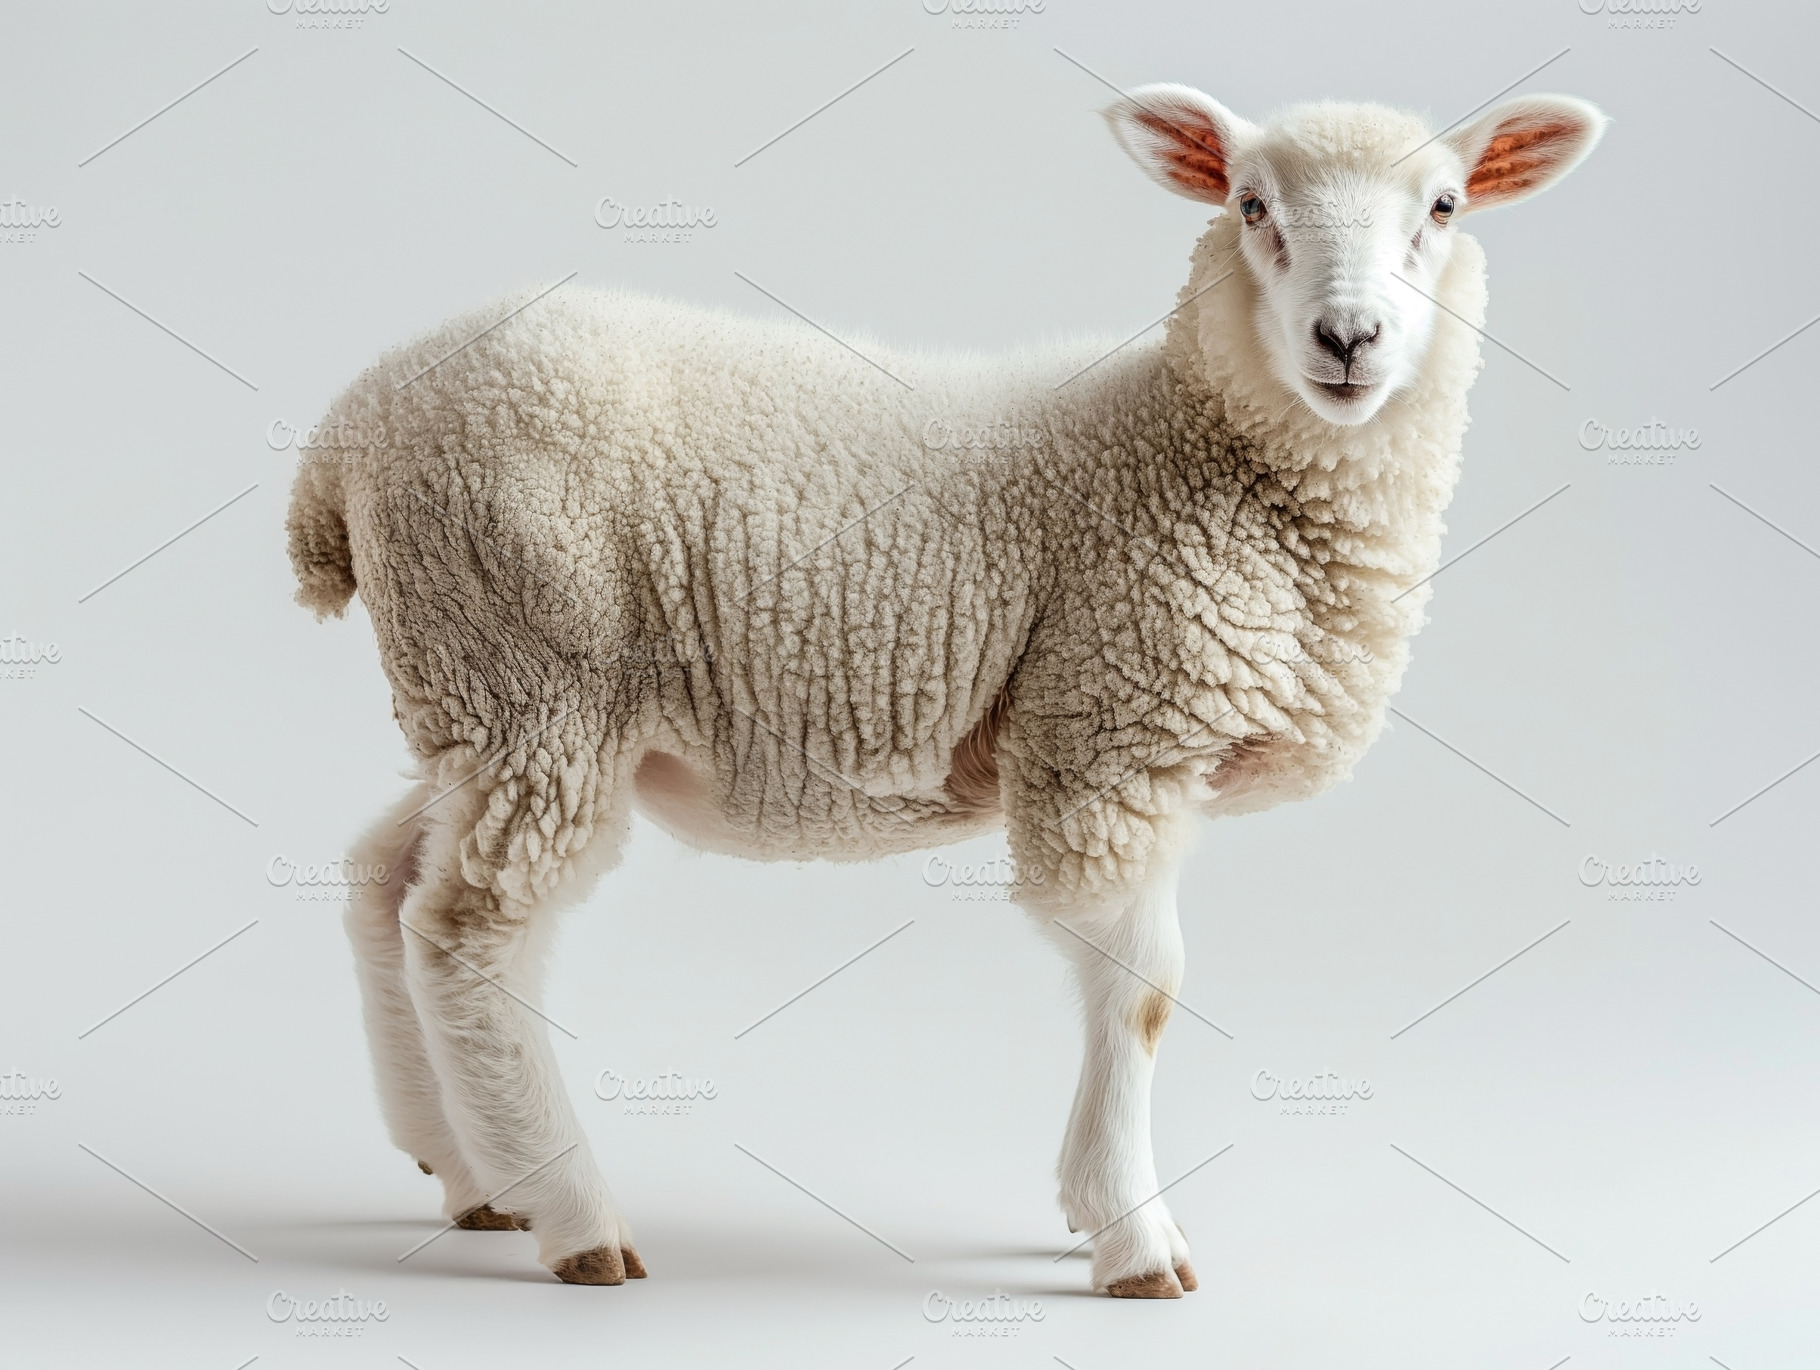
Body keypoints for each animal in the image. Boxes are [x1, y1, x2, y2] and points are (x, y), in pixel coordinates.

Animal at [288, 85, 1604, 1295]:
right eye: (1249, 205)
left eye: (1443, 206)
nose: (1347, 337)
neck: (1202, 451)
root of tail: (349, 428)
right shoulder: (1106, 734)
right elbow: (1143, 991)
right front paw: (1132, 1235)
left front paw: (1091, 1209)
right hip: (539, 675)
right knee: (468, 929)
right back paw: (573, 1216)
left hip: (475, 698)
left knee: (383, 879)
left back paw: (467, 1173)